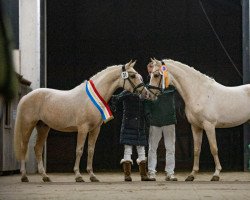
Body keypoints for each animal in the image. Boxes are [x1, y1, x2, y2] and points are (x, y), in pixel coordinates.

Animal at [14, 61, 148, 183]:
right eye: (133, 76)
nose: (145, 93)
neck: (90, 99)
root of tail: (26, 97)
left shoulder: (95, 129)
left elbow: (90, 150)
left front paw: (92, 176)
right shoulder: (83, 128)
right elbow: (79, 150)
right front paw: (78, 176)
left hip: (43, 127)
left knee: (37, 148)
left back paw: (45, 176)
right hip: (28, 126)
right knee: (23, 147)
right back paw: (24, 176)